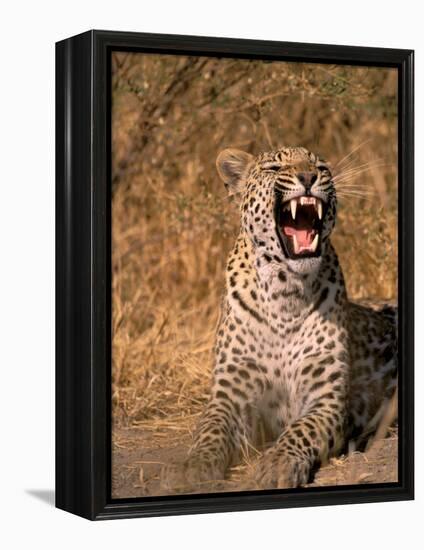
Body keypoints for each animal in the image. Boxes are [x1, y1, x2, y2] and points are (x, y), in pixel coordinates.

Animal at [160, 146, 398, 492]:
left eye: (321, 167)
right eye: (275, 168)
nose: (309, 176)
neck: (285, 292)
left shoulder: (325, 398)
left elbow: (301, 430)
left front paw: (277, 463)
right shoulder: (230, 394)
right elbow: (210, 429)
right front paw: (194, 467)